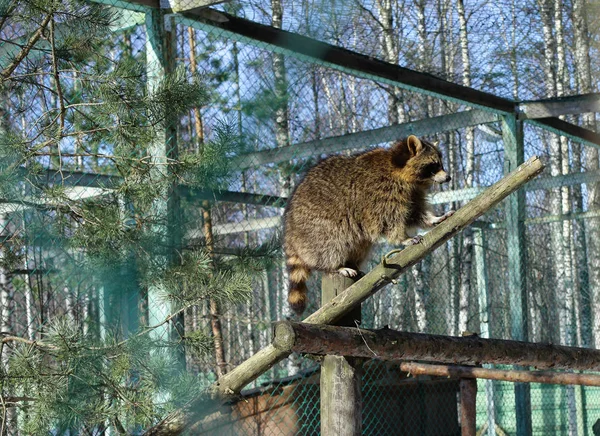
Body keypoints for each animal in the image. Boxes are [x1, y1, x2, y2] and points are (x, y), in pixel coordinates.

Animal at [284, 135, 452, 316]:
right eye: (434, 165)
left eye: (440, 164)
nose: (448, 178)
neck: (401, 171)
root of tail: (290, 226)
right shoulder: (381, 194)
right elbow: (390, 220)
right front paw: (403, 238)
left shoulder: (412, 193)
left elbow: (416, 213)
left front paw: (433, 219)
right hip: (318, 226)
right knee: (331, 245)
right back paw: (335, 266)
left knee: (360, 245)